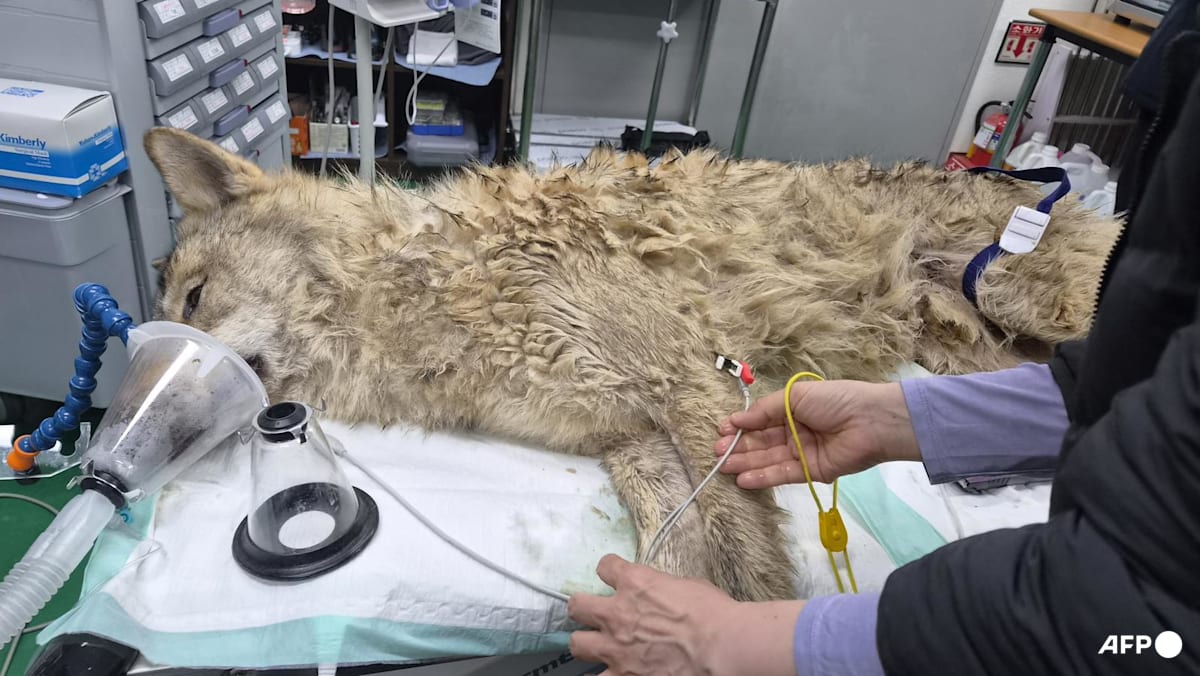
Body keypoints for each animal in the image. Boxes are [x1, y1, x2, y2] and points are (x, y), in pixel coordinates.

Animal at [143, 127, 1120, 602]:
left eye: (193, 300)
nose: (137, 454)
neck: (419, 282)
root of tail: (1019, 180)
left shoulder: (691, 389)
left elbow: (746, 574)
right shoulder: (632, 439)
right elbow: (677, 551)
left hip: (1034, 305)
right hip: (971, 351)